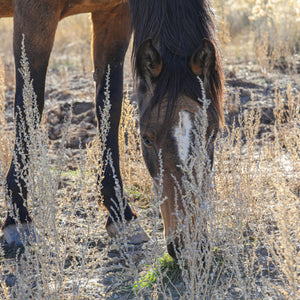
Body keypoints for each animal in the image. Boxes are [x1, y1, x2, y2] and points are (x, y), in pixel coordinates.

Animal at [0, 0, 224, 260]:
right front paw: (18, 218)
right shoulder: (34, 14)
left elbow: (109, 104)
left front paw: (120, 213)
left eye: (212, 135)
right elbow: (29, 105)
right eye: (146, 139)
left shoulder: (114, 15)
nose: (189, 246)